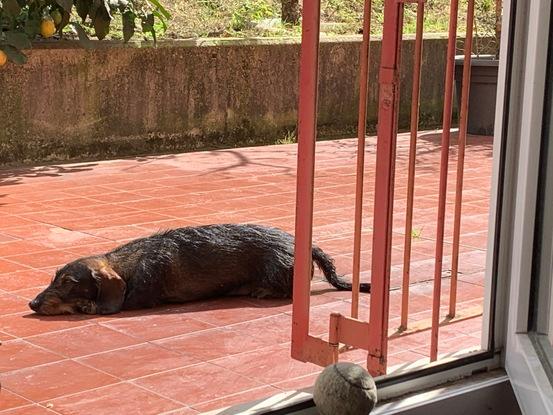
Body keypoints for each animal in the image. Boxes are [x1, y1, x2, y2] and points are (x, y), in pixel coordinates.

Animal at [28, 224, 368, 316]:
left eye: (69, 282)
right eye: (54, 277)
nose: (32, 303)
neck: (130, 264)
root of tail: (307, 246)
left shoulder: (139, 296)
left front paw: (86, 305)